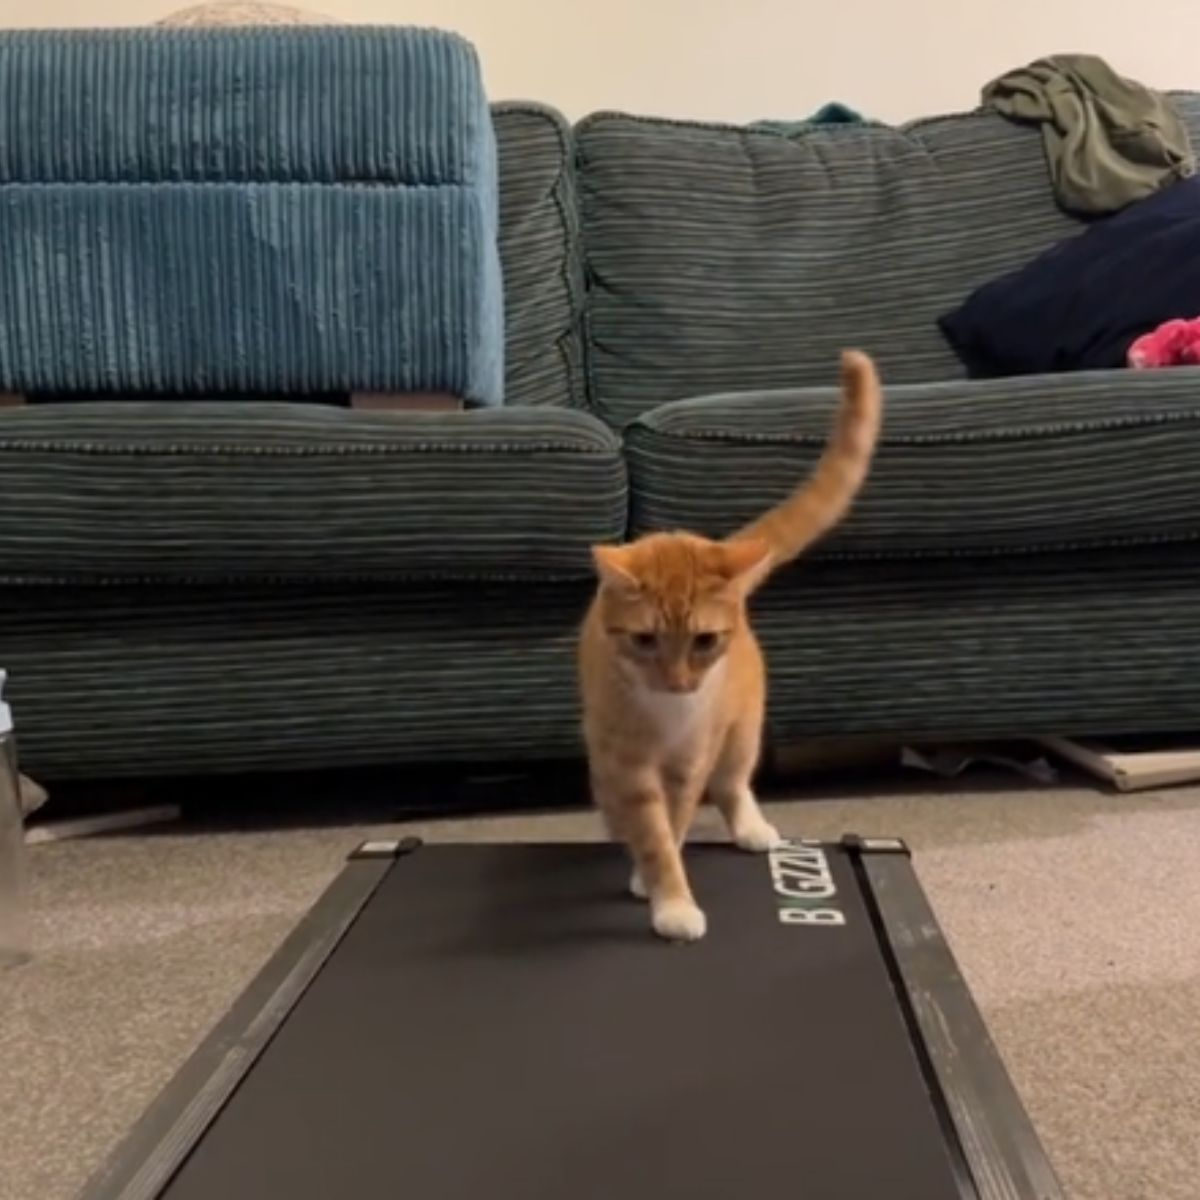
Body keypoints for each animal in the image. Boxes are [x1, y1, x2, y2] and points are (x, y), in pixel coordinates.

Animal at [576, 350, 888, 940]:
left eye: (704, 640)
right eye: (645, 640)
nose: (678, 682)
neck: (666, 715)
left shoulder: (690, 761)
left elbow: (672, 823)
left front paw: (660, 884)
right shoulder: (626, 763)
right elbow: (647, 826)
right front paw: (663, 887)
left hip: (743, 730)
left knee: (733, 783)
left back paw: (749, 825)